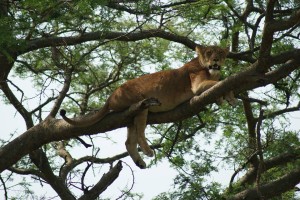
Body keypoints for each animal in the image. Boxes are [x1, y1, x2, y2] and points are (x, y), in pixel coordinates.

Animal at [60, 45, 237, 169]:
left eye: (220, 54)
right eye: (209, 53)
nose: (215, 60)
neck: (211, 71)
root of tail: (111, 96)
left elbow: (219, 84)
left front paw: (224, 99)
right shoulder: (197, 86)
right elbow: (222, 82)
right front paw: (230, 95)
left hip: (130, 117)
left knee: (129, 141)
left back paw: (140, 162)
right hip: (141, 103)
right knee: (140, 132)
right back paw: (147, 151)